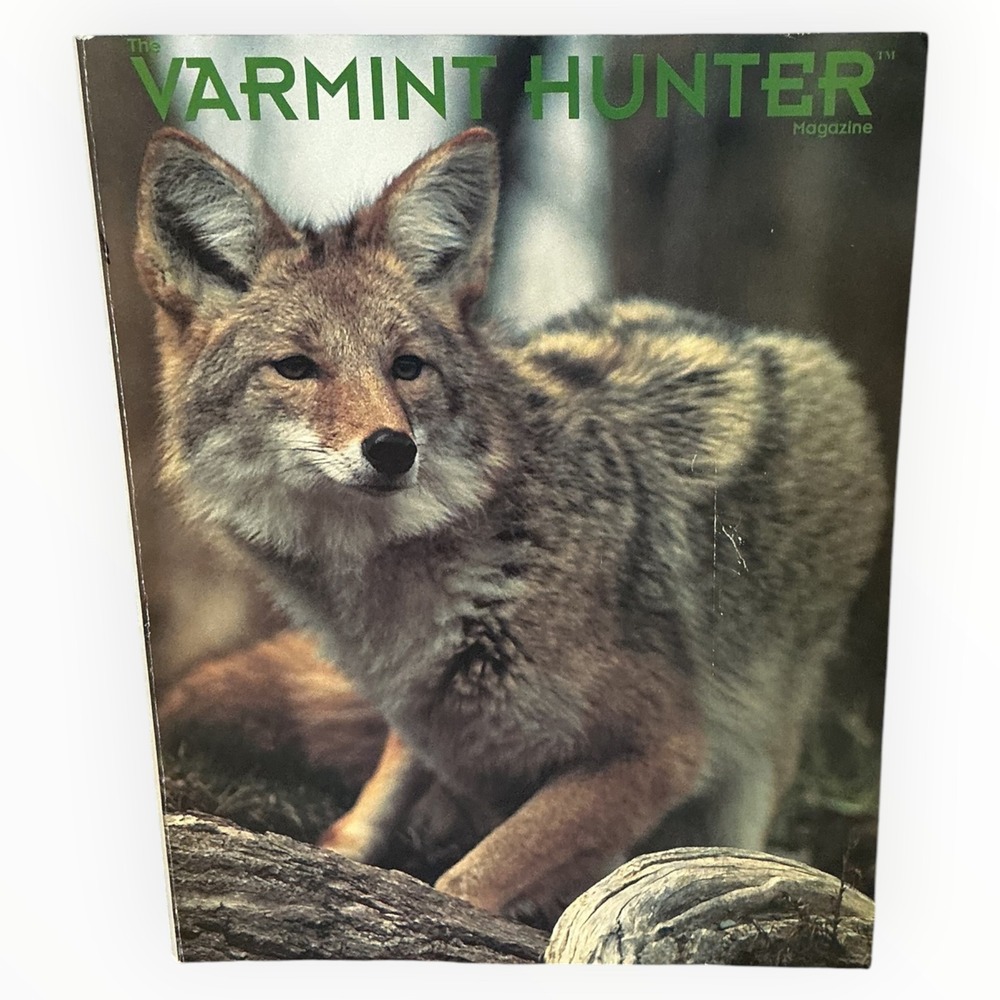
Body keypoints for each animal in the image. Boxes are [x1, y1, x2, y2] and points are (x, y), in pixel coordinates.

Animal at [136, 125, 887, 928]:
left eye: (407, 367)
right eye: (296, 368)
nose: (392, 448)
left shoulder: (664, 751)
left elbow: (469, 881)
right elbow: (373, 818)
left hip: (755, 752)